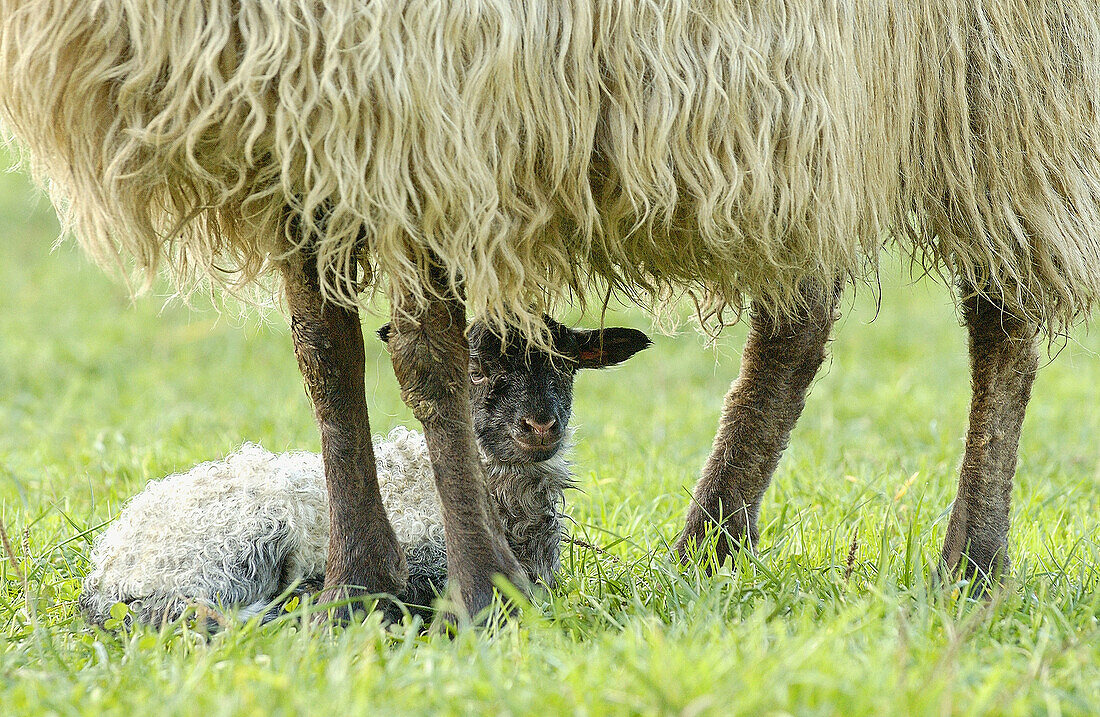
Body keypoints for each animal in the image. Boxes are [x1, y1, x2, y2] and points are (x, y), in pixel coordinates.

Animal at [81, 321, 655, 629]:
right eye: (474, 372)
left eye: (566, 366)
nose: (541, 425)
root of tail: (107, 569)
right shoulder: (422, 558)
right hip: (234, 547)